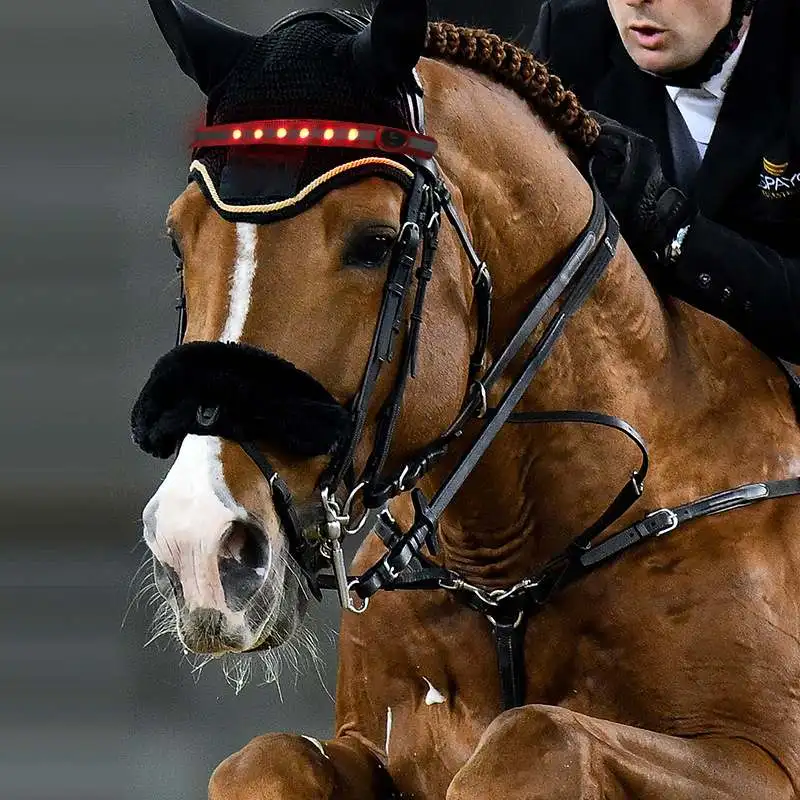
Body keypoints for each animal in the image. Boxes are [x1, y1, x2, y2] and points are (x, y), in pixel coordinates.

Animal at [133, 0, 800, 797]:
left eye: (376, 242)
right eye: (179, 240)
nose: (199, 544)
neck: (504, 570)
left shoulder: (763, 761)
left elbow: (536, 735)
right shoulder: (369, 743)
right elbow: (265, 760)